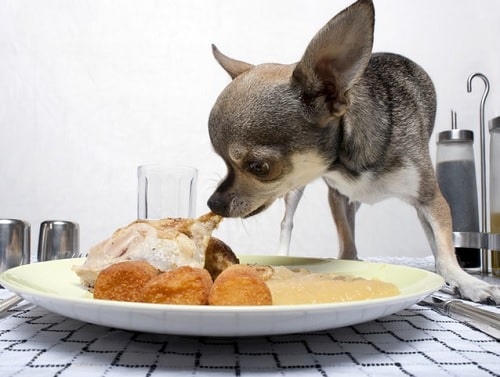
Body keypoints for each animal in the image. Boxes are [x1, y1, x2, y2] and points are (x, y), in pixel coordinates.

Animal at [205, 0, 498, 302]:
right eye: (224, 162)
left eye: (259, 167)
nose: (213, 203)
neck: (347, 162)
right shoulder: (337, 195)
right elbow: (345, 233)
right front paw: (347, 259)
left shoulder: (430, 198)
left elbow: (443, 242)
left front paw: (464, 280)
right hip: (297, 190)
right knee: (288, 222)